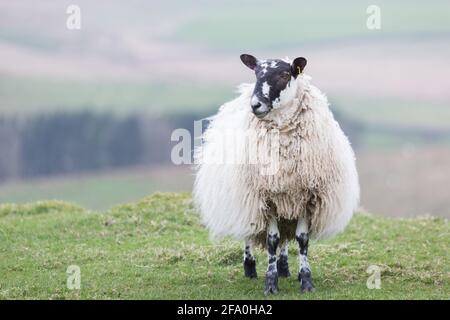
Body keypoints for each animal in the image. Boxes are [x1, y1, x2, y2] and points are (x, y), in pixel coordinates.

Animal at [192, 53, 358, 294]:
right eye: (256, 73)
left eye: (284, 74)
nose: (255, 105)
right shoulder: (266, 196)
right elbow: (272, 239)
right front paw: (270, 283)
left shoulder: (305, 196)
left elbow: (302, 239)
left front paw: (305, 280)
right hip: (246, 198)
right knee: (250, 232)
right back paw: (250, 267)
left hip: (287, 204)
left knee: (286, 239)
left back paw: (284, 267)